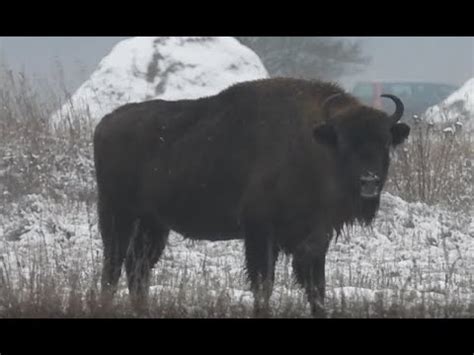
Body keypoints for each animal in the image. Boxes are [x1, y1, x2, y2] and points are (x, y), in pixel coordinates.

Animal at [93, 78, 412, 318]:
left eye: (385, 142)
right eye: (345, 142)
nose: (369, 181)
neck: (315, 145)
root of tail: (105, 123)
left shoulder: (315, 238)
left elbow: (317, 289)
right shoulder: (260, 231)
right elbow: (263, 284)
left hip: (153, 224)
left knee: (137, 268)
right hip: (117, 215)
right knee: (113, 266)